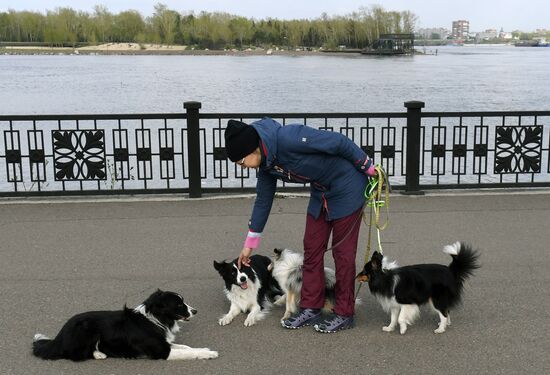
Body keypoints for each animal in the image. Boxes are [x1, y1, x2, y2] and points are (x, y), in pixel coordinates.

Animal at [33, 290, 220, 362]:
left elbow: (185, 347)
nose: (195, 311)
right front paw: (209, 353)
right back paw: (99, 354)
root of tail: (59, 336)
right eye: (179, 304)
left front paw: (204, 349)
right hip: (86, 329)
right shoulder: (161, 351)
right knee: (75, 354)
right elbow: (187, 352)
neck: (155, 318)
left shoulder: (164, 343)